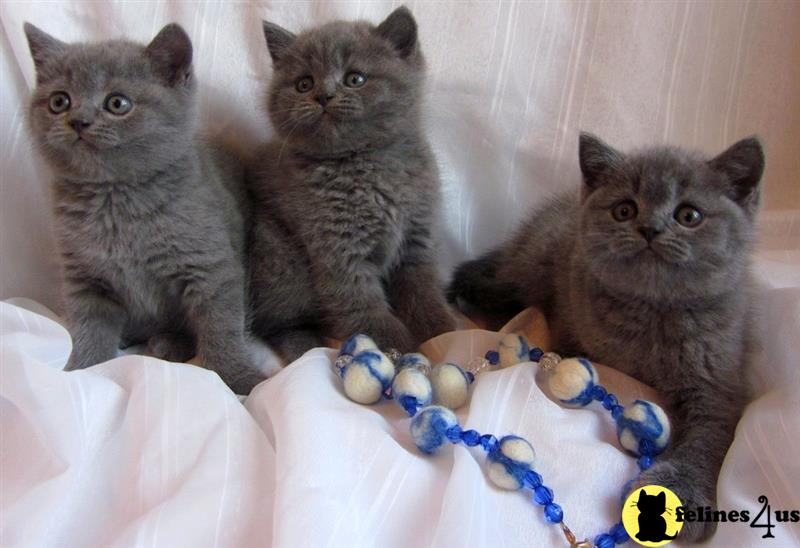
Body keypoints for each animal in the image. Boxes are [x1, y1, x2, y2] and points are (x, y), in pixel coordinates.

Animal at [23, 22, 262, 394]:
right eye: (59, 101)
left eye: (117, 103)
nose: (78, 120)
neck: (115, 201)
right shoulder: (84, 277)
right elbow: (89, 326)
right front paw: (84, 370)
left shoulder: (211, 267)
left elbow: (221, 325)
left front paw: (237, 378)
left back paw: (171, 343)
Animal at [247, 6, 454, 358]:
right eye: (304, 83)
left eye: (355, 79)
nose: (323, 95)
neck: (366, 165)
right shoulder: (339, 252)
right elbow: (364, 309)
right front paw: (400, 351)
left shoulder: (417, 238)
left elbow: (424, 292)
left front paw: (445, 333)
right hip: (278, 255)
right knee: (276, 323)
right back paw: (305, 345)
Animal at [446, 132, 764, 540]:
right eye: (624, 210)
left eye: (689, 216)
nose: (650, 228)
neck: (654, 314)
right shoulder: (571, 325)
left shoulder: (718, 382)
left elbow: (709, 436)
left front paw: (683, 491)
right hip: (532, 261)